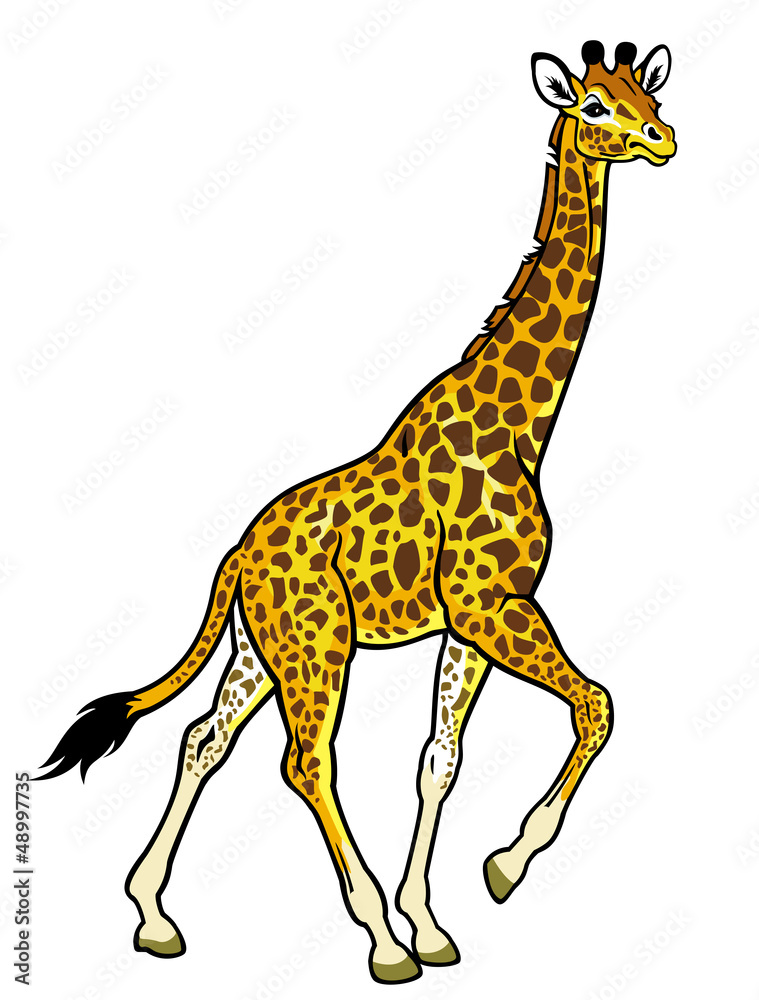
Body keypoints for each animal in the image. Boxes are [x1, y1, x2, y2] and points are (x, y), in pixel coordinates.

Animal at [39, 41, 676, 985]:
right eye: (595, 105)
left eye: (647, 95)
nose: (661, 139)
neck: (522, 425)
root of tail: (236, 556)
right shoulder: (494, 604)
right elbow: (595, 703)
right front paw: (499, 870)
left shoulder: (468, 624)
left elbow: (438, 761)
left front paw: (435, 922)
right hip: (316, 647)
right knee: (305, 761)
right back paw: (376, 942)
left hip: (260, 651)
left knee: (203, 737)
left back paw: (154, 918)